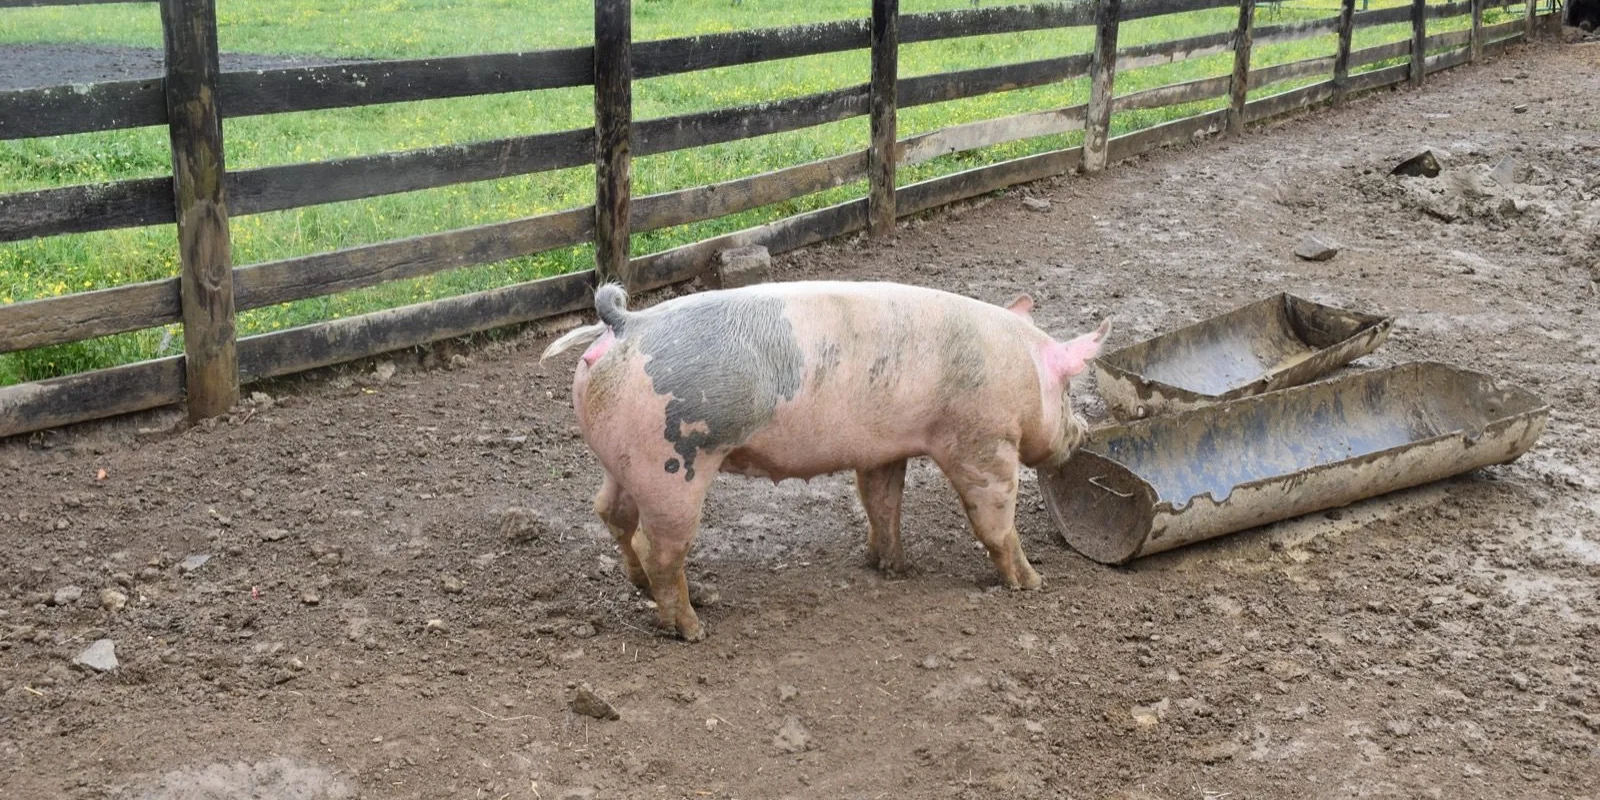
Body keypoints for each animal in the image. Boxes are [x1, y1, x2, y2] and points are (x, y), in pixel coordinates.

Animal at [540, 280, 1110, 641]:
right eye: (1068, 386)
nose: (1083, 432)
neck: (1020, 367)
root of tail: (625, 323)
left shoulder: (882, 449)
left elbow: (882, 505)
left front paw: (894, 567)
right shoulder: (982, 440)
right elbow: (994, 519)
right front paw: (1033, 584)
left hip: (622, 460)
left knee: (612, 514)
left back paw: (676, 593)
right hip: (672, 465)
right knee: (657, 547)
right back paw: (695, 629)